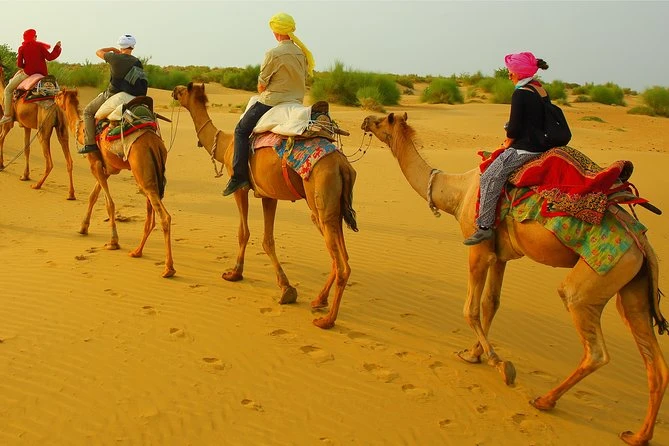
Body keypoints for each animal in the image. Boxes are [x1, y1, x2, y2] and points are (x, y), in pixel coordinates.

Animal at [0, 66, 75, 200]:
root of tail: (56, 105)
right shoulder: (26, 126)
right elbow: (26, 149)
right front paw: (25, 175)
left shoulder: (8, 122)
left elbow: (1, 139)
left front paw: (1, 165)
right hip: (63, 128)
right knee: (69, 160)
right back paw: (71, 194)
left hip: (43, 130)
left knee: (49, 162)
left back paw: (37, 185)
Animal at [55, 88, 175, 278]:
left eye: (60, 95)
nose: (53, 96)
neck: (82, 131)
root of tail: (153, 142)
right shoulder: (107, 169)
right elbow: (93, 196)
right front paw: (83, 228)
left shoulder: (94, 164)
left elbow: (109, 203)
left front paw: (113, 242)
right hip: (152, 175)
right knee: (151, 214)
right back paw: (137, 251)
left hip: (142, 173)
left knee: (164, 217)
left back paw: (168, 268)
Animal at [172, 83, 357, 328]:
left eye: (184, 90)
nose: (174, 90)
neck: (226, 145)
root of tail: (342, 165)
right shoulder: (269, 195)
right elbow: (268, 240)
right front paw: (286, 289)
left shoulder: (240, 187)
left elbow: (243, 232)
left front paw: (234, 273)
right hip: (331, 210)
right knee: (340, 257)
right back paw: (319, 300)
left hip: (322, 201)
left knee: (341, 263)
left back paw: (326, 320)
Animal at [362, 112, 668, 446]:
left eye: (382, 120)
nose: (364, 120)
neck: (456, 192)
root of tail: (643, 244)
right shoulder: (500, 256)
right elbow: (491, 304)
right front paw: (474, 354)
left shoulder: (478, 248)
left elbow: (470, 309)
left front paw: (501, 364)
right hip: (633, 288)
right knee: (656, 362)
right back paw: (638, 435)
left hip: (595, 281)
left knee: (594, 344)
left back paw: (545, 400)